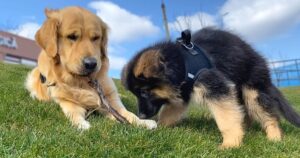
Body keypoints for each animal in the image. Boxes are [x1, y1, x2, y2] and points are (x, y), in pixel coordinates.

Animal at [25, 6, 157, 130]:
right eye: (72, 36)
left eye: (96, 38)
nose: (91, 64)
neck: (83, 81)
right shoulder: (66, 101)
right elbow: (74, 112)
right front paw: (81, 124)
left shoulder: (109, 100)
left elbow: (127, 113)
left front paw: (143, 122)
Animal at [121, 27, 300, 148]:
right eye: (137, 94)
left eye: (144, 92)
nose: (141, 116)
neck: (181, 64)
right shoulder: (183, 93)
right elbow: (169, 112)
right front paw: (159, 128)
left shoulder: (216, 87)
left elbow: (226, 118)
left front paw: (231, 144)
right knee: (244, 112)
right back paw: (246, 128)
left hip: (252, 90)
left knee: (268, 115)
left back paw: (274, 138)